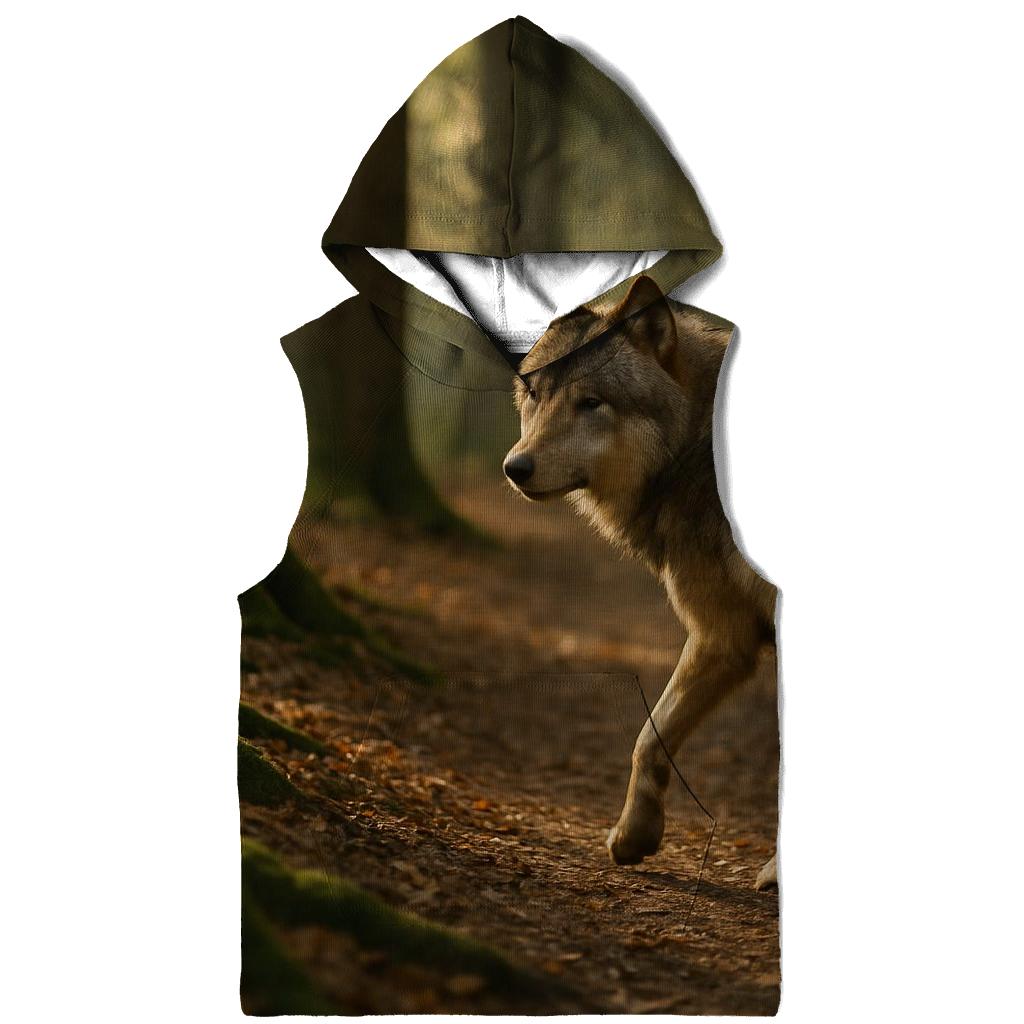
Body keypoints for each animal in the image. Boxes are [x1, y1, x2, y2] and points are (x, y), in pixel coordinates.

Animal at [503, 274, 778, 890]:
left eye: (591, 403)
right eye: (536, 397)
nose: (515, 468)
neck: (699, 450)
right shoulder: (724, 635)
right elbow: (648, 738)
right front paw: (635, 835)